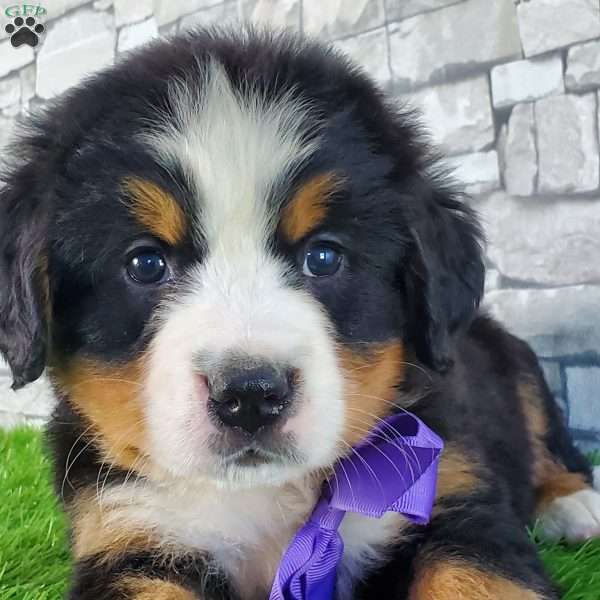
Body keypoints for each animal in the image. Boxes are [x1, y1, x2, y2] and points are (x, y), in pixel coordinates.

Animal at [1, 27, 600, 600]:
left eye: (324, 257)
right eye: (145, 263)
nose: (249, 394)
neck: (269, 501)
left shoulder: (453, 492)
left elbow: (474, 579)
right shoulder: (129, 535)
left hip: (516, 362)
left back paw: (574, 503)